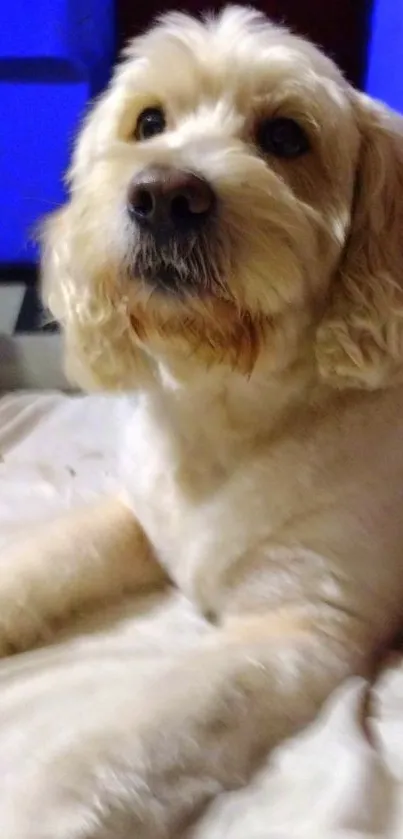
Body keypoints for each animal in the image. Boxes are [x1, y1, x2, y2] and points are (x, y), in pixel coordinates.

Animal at [2, 3, 403, 836]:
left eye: (286, 135)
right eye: (149, 121)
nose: (163, 195)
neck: (221, 410)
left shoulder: (297, 627)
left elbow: (121, 740)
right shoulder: (133, 518)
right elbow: (42, 558)